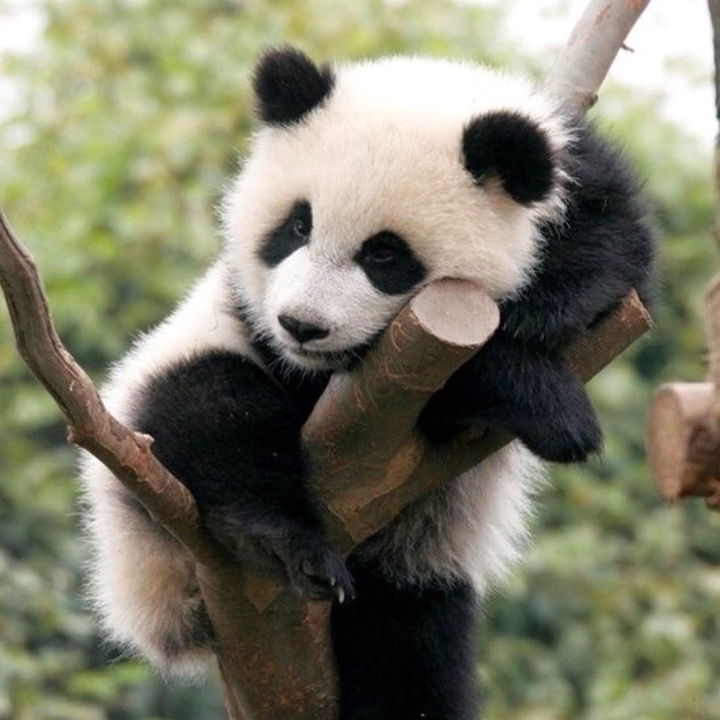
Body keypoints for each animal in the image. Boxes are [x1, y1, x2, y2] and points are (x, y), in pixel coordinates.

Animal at [80, 47, 654, 720]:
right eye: (297, 226)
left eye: (384, 254)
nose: (301, 325)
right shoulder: (267, 335)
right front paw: (549, 405)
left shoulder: (587, 196)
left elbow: (610, 263)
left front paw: (539, 323)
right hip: (145, 469)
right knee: (209, 407)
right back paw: (277, 539)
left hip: (412, 571)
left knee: (411, 657)